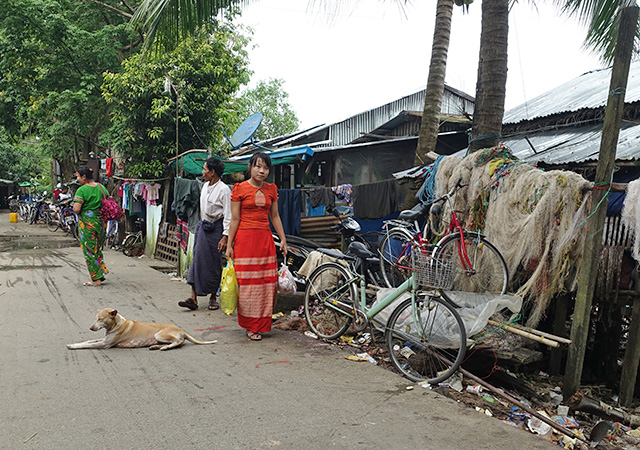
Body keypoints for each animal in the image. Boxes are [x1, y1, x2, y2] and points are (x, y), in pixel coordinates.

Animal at [67, 308, 217, 350]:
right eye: (95, 318)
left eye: (100, 319)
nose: (91, 327)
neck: (116, 324)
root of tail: (181, 329)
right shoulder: (103, 339)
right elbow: (88, 342)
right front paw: (74, 343)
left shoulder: (105, 344)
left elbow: (85, 345)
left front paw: (73, 347)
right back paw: (156, 347)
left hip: (159, 335)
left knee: (178, 342)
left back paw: (164, 348)